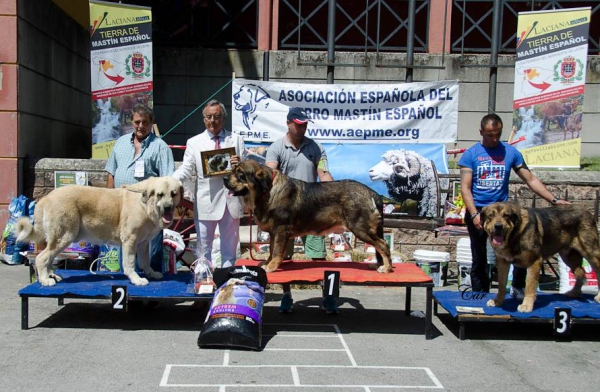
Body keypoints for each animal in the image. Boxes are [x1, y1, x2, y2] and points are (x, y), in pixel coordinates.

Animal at [223, 161, 392, 274]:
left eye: (240, 174)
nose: (224, 178)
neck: (267, 192)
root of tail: (372, 192)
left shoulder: (281, 230)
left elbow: (276, 251)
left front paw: (270, 267)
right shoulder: (273, 232)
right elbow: (271, 249)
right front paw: (267, 262)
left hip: (360, 228)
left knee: (383, 245)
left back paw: (386, 267)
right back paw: (378, 265)